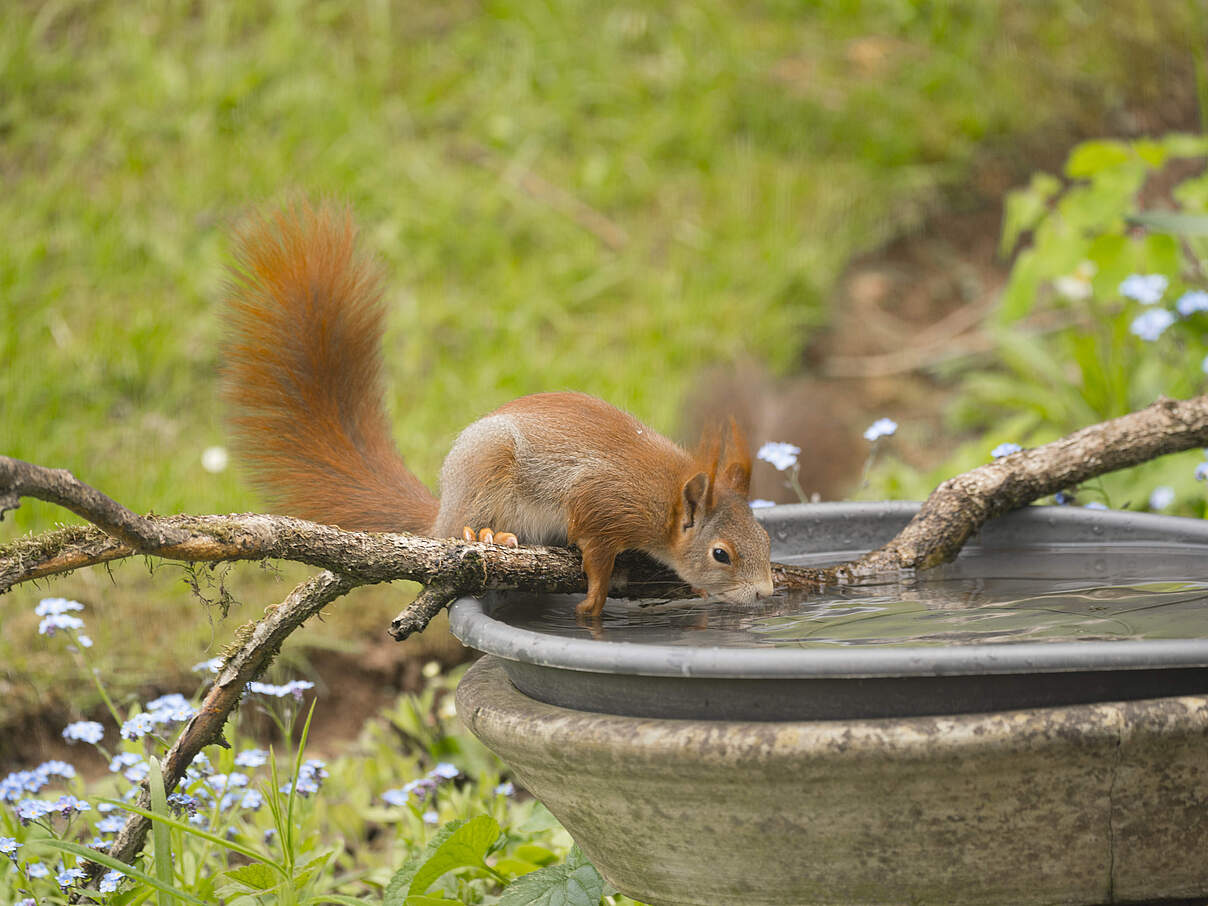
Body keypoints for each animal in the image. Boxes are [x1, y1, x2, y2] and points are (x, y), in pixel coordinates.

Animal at [222, 201, 775, 618]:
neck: (664, 498)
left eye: (767, 537)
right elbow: (595, 552)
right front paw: (594, 601)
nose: (767, 592)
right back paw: (486, 532)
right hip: (486, 472)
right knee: (467, 524)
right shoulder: (603, 503)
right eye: (721, 554)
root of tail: (442, 510)